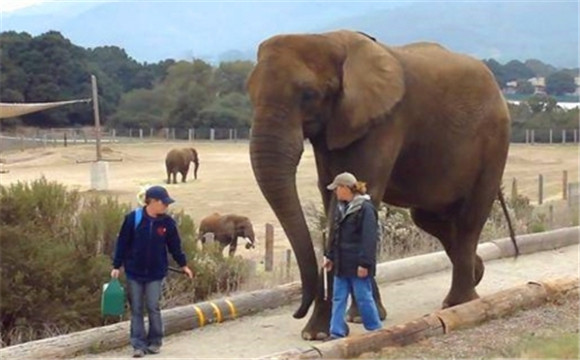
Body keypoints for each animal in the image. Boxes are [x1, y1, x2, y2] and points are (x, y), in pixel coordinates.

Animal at [247, 30, 520, 340]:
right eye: (249, 93)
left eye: (309, 95)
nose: (297, 312)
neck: (329, 39)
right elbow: (333, 199)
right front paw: (340, 325)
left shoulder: (383, 123)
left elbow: (358, 197)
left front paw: (321, 332)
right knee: (428, 218)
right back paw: (476, 273)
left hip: (495, 140)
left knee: (469, 219)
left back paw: (458, 304)